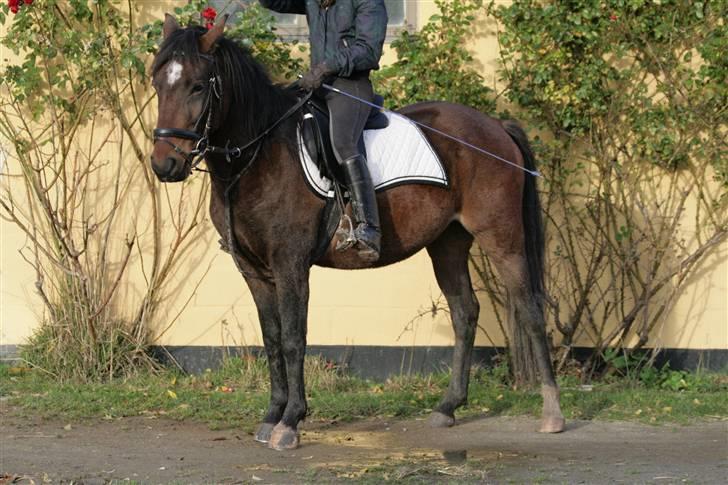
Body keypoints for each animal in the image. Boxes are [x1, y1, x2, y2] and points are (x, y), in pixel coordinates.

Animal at [150, 14, 564, 451]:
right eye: (157, 83)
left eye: (198, 85)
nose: (165, 165)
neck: (258, 157)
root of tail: (496, 126)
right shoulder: (255, 271)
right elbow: (272, 339)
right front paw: (272, 415)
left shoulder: (290, 263)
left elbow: (294, 337)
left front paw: (291, 422)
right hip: (447, 243)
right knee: (465, 313)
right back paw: (448, 407)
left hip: (502, 236)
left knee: (530, 309)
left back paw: (551, 412)